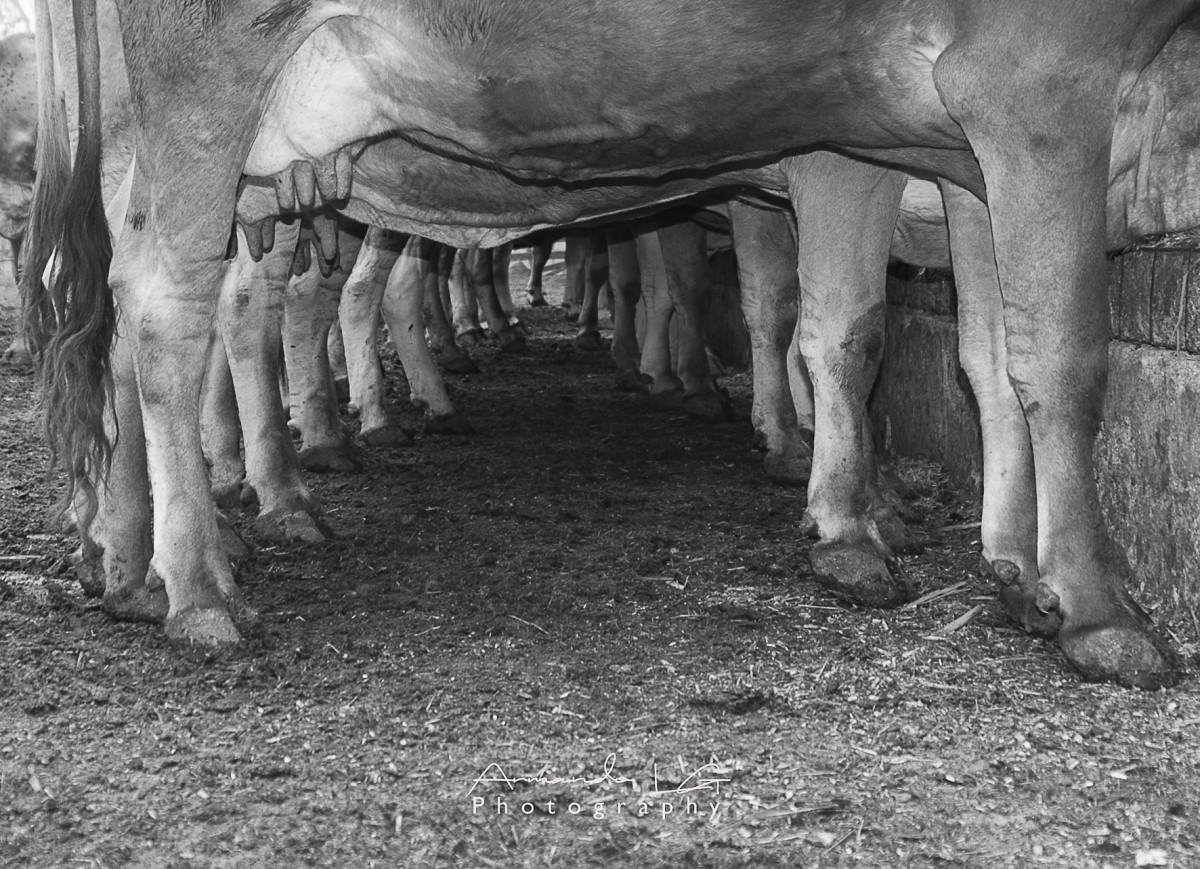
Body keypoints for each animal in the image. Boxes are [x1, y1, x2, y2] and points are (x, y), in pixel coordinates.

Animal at [27, 0, 1197, 689]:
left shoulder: (946, 148)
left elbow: (987, 355)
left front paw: (1009, 564)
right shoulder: (1016, 87)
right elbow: (1015, 349)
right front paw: (1094, 606)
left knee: (129, 324)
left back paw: (132, 563)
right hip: (209, 97)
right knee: (181, 309)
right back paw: (207, 574)